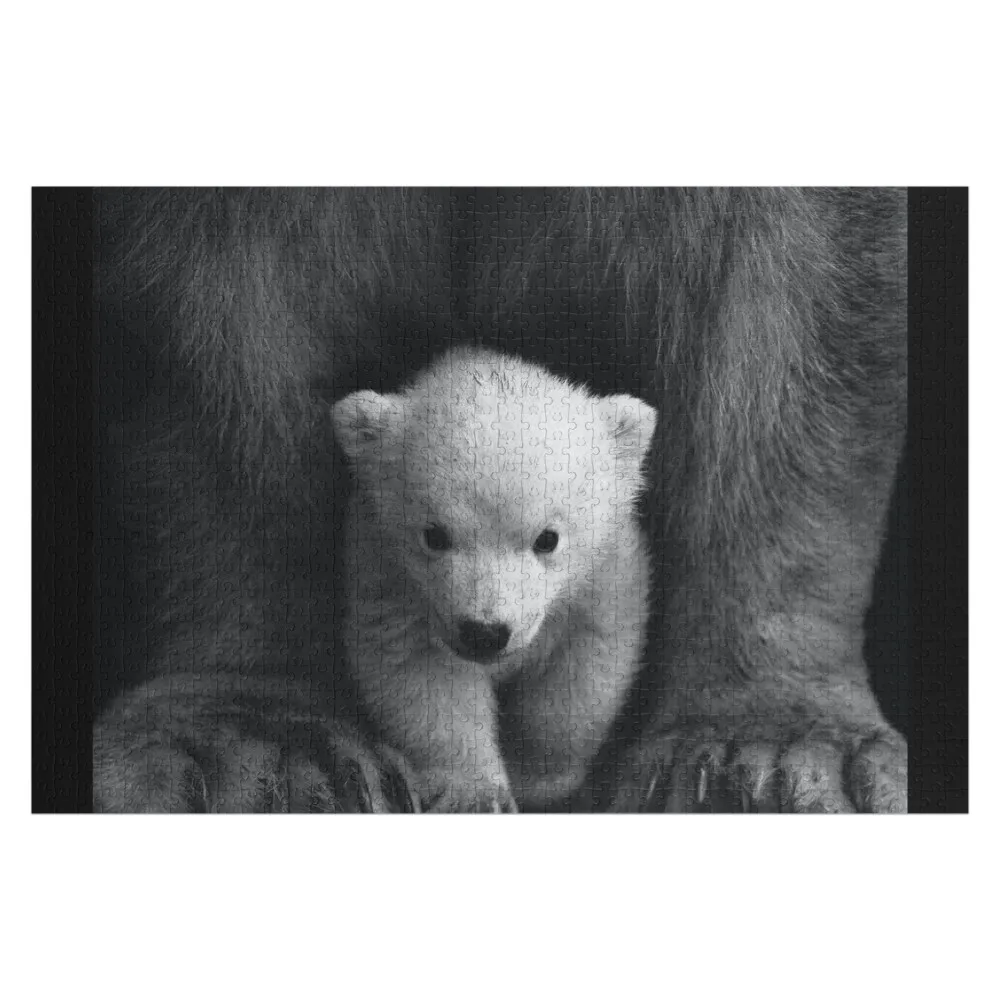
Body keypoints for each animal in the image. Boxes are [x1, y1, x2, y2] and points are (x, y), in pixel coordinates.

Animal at [331, 347, 657, 812]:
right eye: (434, 535)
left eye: (547, 538)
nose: (485, 633)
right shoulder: (389, 581)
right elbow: (423, 678)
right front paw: (476, 794)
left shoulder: (605, 578)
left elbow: (582, 675)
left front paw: (536, 777)